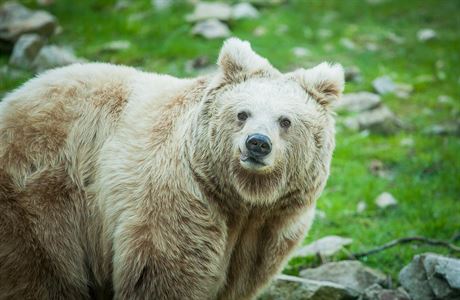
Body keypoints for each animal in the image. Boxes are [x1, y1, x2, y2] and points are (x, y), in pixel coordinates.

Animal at [0, 38, 344, 298]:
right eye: (242, 114)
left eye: (285, 121)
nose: (257, 143)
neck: (240, 199)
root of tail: (15, 96)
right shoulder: (179, 203)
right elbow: (166, 274)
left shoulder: (268, 229)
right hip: (40, 194)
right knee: (40, 271)